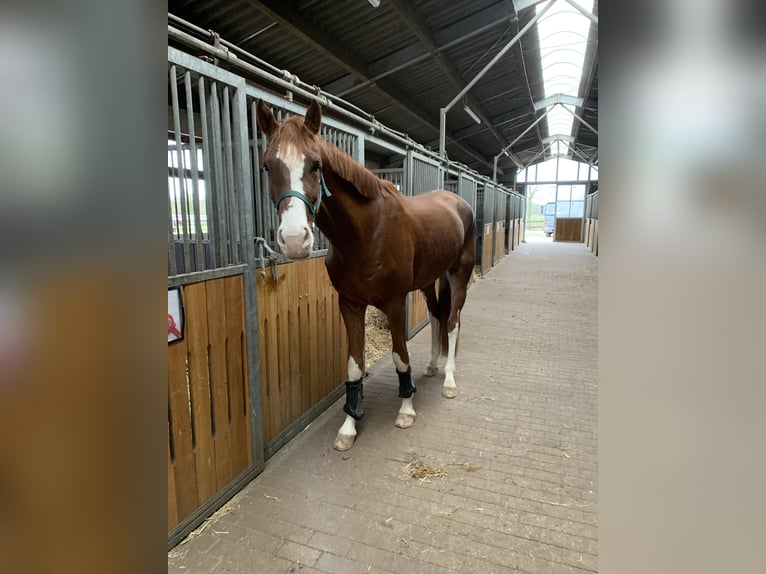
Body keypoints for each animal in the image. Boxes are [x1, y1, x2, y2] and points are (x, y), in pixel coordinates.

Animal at [256, 99, 474, 452]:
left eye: (316, 165)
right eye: (267, 166)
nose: (295, 240)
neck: (368, 233)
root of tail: (457, 201)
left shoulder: (395, 303)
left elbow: (400, 355)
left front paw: (406, 409)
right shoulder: (350, 304)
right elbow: (354, 365)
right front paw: (349, 426)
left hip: (459, 275)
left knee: (452, 321)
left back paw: (450, 381)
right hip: (430, 280)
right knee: (436, 316)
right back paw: (431, 367)